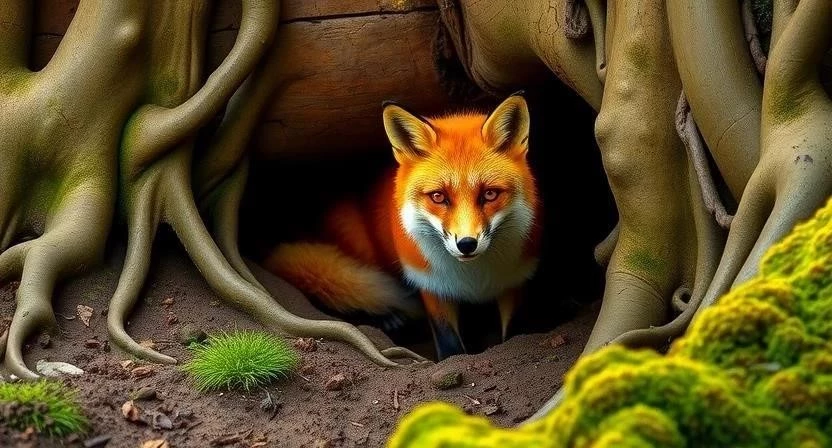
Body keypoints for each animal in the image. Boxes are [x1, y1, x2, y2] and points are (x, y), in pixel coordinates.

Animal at [263, 93, 541, 359]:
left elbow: (514, 331)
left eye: (490, 194)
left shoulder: (514, 280)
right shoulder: (431, 283)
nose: (466, 244)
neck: (473, 277)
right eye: (438, 196)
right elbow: (449, 344)